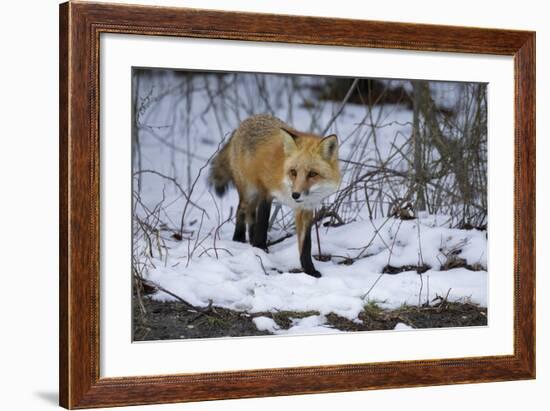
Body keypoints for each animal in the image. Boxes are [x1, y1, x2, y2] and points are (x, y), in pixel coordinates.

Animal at [210, 114, 340, 278]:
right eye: (293, 172)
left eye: (312, 174)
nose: (295, 195)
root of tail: (245, 122)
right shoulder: (266, 192)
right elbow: (263, 223)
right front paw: (260, 250)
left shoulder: (305, 209)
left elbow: (306, 245)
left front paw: (309, 270)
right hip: (249, 191)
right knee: (241, 210)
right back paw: (239, 239)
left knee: (251, 217)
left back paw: (250, 239)